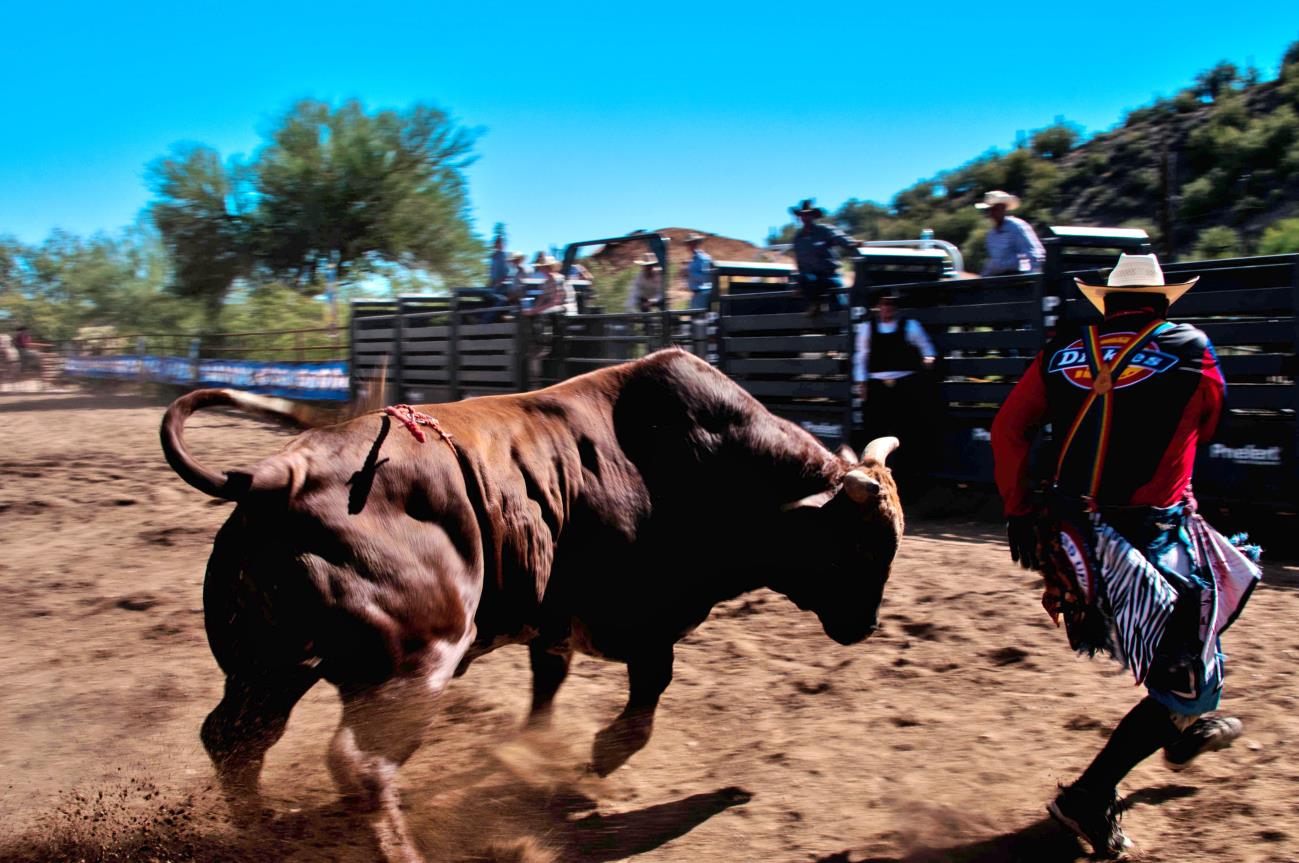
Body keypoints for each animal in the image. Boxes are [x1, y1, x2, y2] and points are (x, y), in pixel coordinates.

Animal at [159, 348, 904, 857]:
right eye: (863, 546)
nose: (864, 626)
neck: (706, 463)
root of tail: (280, 474)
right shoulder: (645, 619)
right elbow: (650, 687)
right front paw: (602, 755)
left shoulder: (554, 619)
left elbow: (549, 681)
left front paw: (532, 750)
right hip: (414, 665)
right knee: (361, 765)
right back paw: (396, 848)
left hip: (268, 667)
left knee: (234, 739)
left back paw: (259, 829)